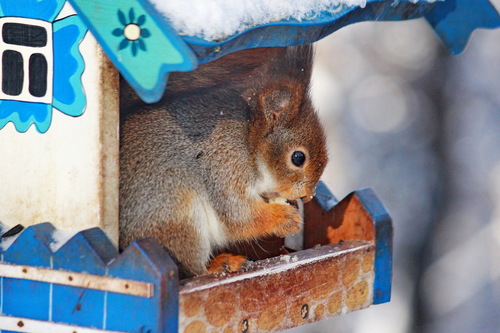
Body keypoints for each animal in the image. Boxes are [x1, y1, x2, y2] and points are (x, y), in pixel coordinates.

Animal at [118, 45, 328, 276]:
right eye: (298, 157)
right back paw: (222, 264)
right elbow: (239, 215)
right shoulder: (225, 167)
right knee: (194, 271)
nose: (308, 196)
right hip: (178, 216)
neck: (248, 144)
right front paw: (284, 218)